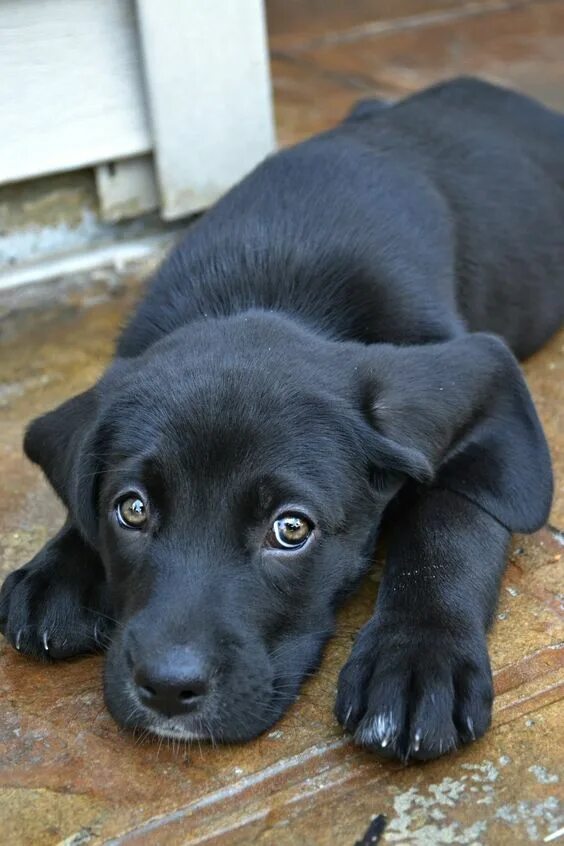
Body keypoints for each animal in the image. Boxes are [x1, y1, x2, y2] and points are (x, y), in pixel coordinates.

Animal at [1, 79, 564, 764]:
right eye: (131, 509)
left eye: (291, 529)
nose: (167, 689)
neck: (267, 280)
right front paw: (57, 568)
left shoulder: (470, 397)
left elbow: (452, 522)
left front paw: (417, 655)